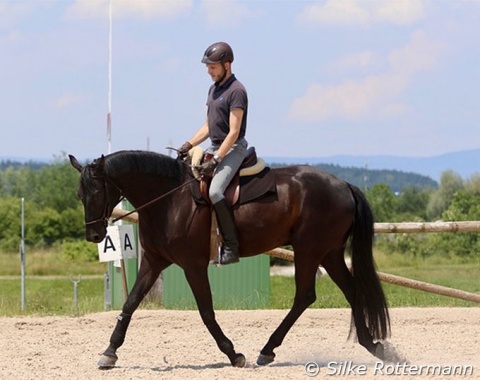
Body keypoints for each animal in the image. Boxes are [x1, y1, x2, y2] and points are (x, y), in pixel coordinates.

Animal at [70, 151, 390, 368]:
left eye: (97, 191)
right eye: (79, 194)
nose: (94, 234)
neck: (169, 201)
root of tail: (344, 185)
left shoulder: (193, 266)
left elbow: (206, 311)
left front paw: (233, 353)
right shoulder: (154, 261)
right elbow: (131, 302)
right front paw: (109, 352)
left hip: (309, 250)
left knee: (305, 295)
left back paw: (268, 349)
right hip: (329, 253)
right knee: (350, 291)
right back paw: (374, 345)